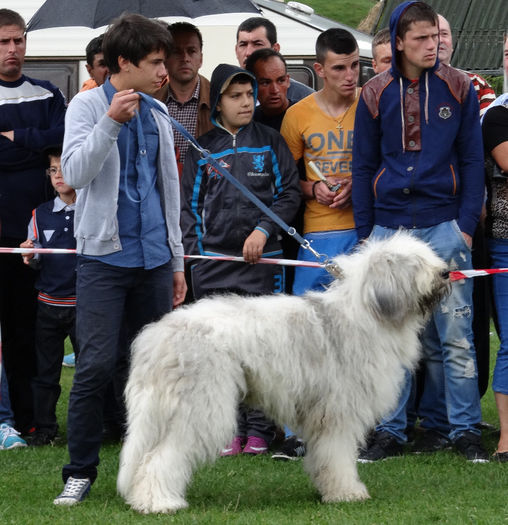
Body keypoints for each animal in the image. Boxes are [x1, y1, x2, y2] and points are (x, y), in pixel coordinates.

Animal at [116, 232, 448, 512]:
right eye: (416, 263)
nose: (446, 272)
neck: (369, 310)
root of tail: (158, 335)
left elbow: (324, 458)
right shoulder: (338, 412)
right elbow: (338, 456)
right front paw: (347, 492)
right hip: (199, 407)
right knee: (160, 457)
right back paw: (158, 502)